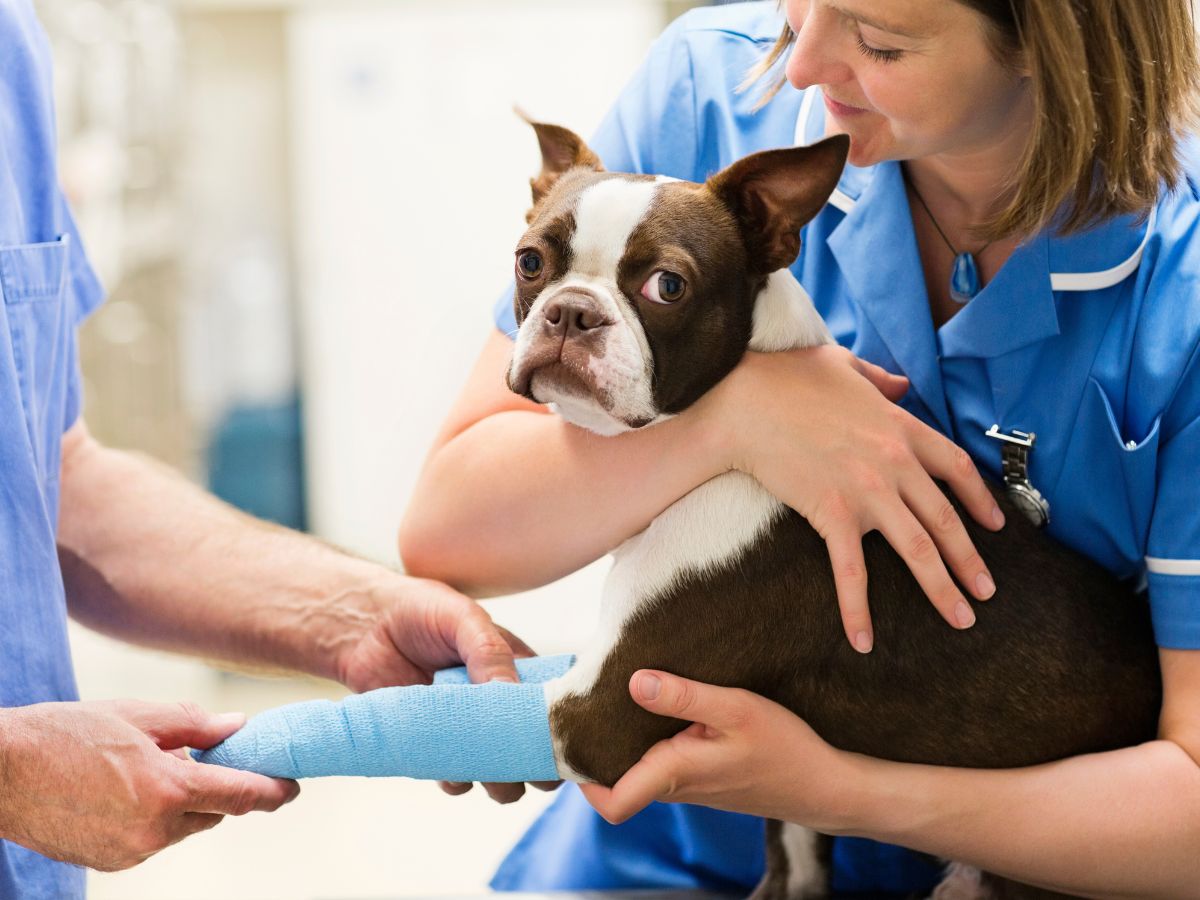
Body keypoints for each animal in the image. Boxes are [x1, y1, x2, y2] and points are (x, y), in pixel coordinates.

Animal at [501, 123, 1156, 900]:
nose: (572, 311)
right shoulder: (792, 828)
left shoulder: (598, 712)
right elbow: (795, 860)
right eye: (530, 261)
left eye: (667, 286)